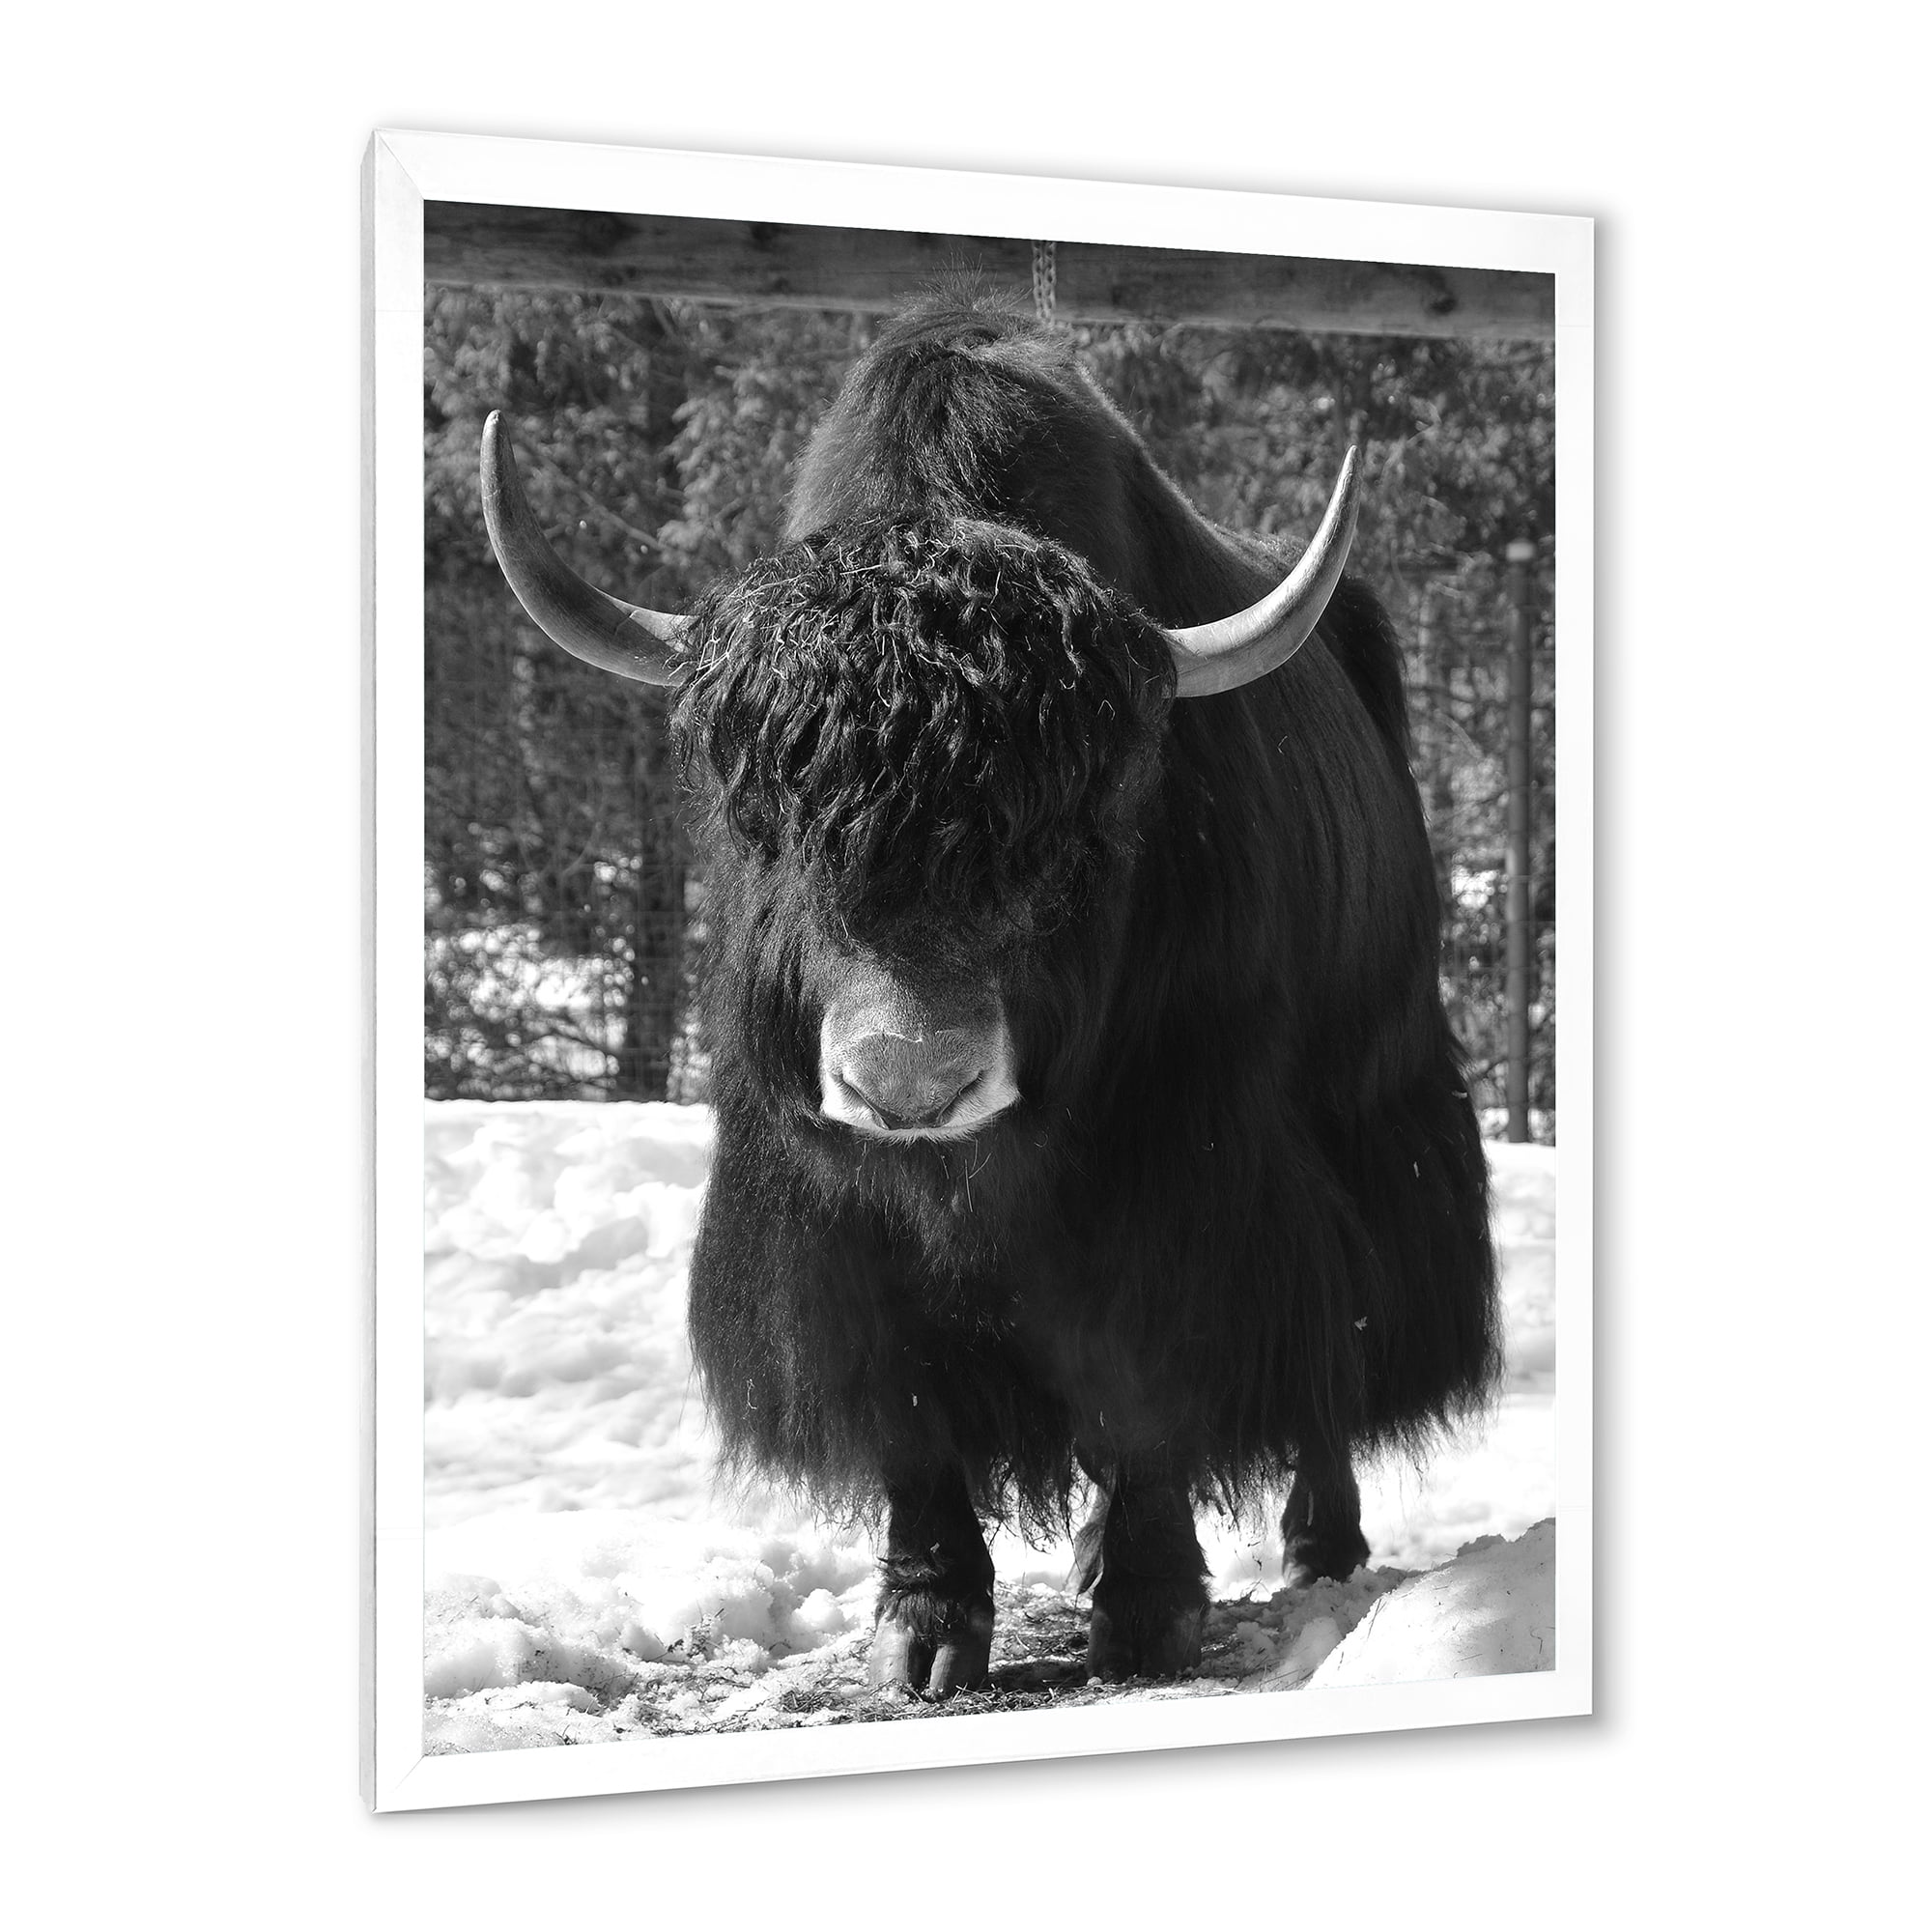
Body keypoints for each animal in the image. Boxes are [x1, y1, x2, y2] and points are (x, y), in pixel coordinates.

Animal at [479, 290, 1501, 1694]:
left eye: (1081, 829)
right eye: (765, 818)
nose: (910, 1083)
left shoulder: (1181, 1174)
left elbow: (1148, 1373)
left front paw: (1148, 1611)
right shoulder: (824, 1210)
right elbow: (905, 1396)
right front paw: (924, 1628)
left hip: (1373, 1117)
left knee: (1331, 1350)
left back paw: (1318, 1548)